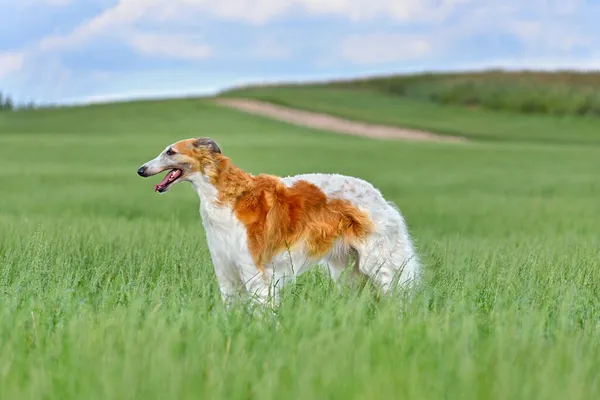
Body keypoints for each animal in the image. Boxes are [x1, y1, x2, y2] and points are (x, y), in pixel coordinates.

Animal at [139, 138, 422, 306]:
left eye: (170, 152)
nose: (141, 169)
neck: (230, 197)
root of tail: (379, 197)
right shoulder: (225, 267)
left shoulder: (254, 269)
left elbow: (262, 309)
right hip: (346, 269)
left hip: (379, 263)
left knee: (395, 294)